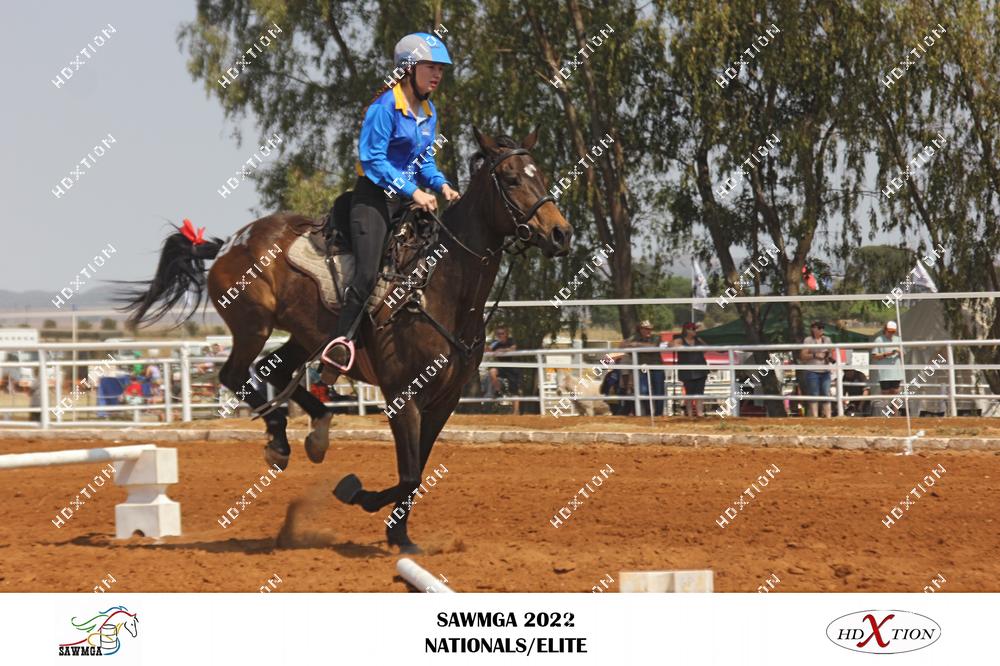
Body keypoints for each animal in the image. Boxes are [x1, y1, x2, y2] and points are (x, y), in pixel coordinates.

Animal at [120, 127, 572, 552]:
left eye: (541, 174)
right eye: (511, 179)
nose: (561, 234)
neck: (436, 287)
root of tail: (231, 241)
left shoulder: (445, 401)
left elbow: (417, 473)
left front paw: (397, 533)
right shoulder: (403, 397)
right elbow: (409, 474)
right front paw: (363, 500)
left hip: (306, 335)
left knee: (275, 369)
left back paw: (315, 431)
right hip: (253, 326)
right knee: (234, 375)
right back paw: (279, 441)